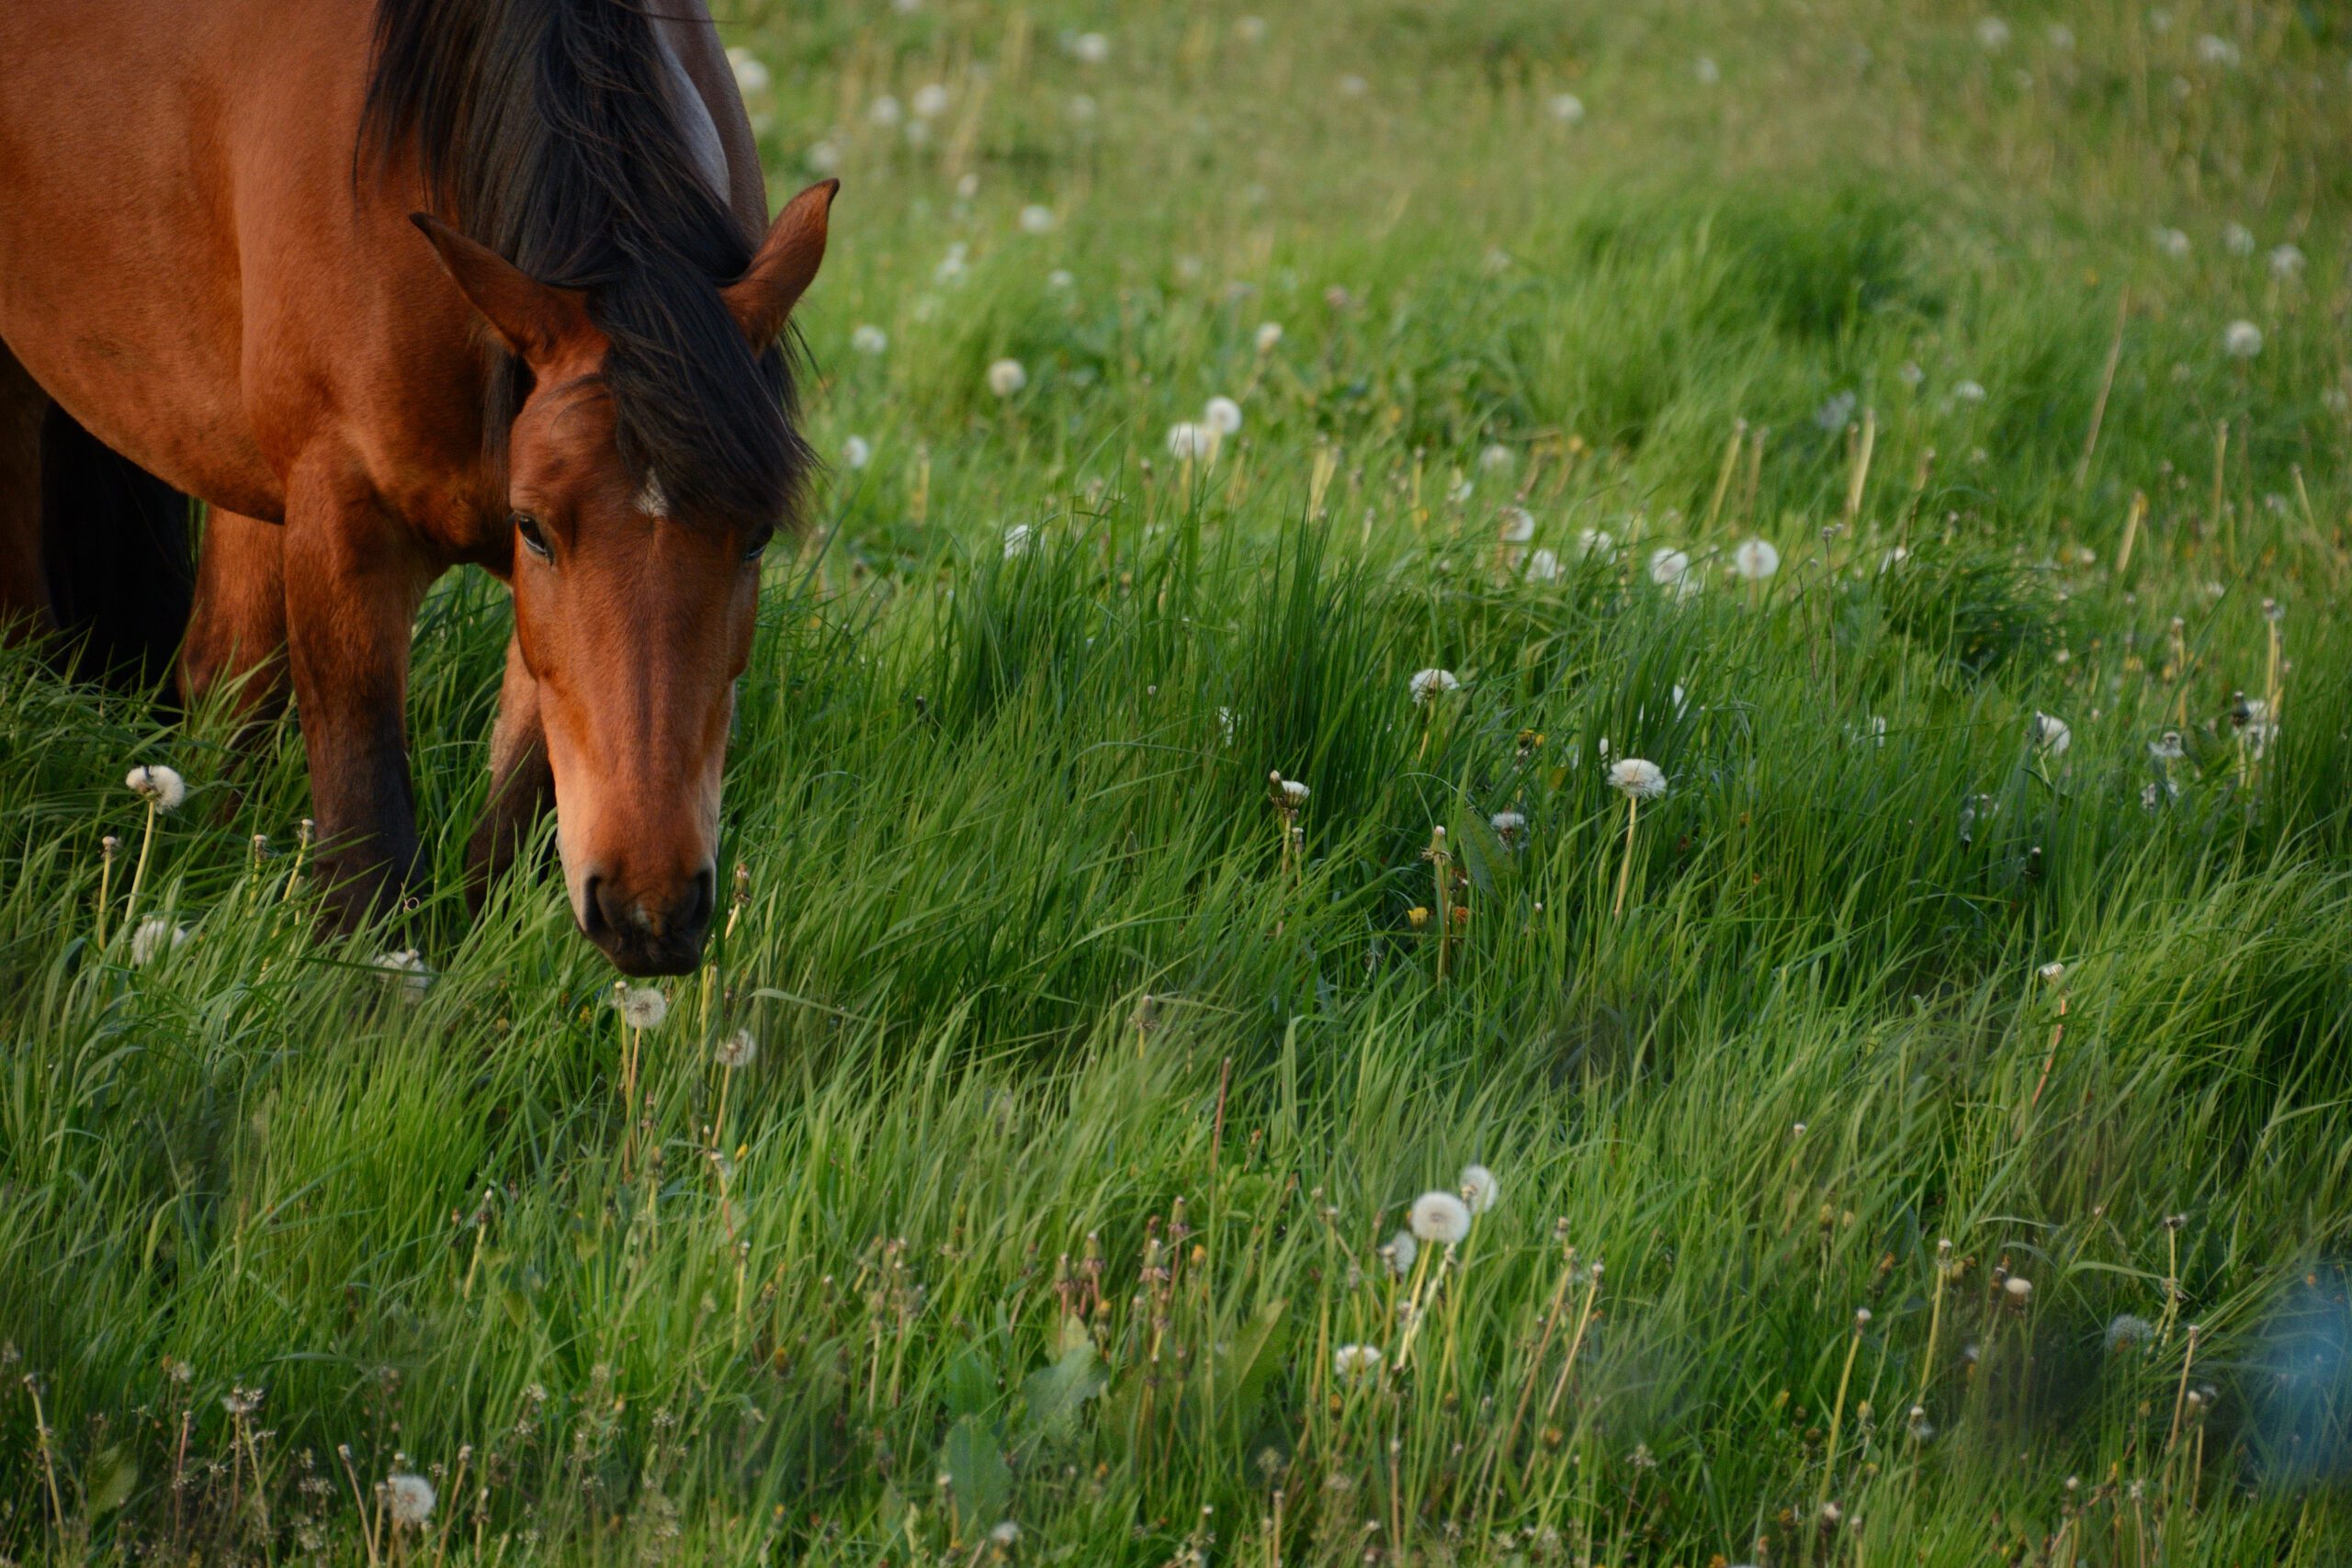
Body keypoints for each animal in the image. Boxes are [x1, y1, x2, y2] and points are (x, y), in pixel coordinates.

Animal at [0, 0, 837, 968]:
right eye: (536, 526)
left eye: (758, 535)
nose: (651, 912)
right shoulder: (343, 519)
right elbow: (368, 824)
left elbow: (507, 827)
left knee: (224, 676)